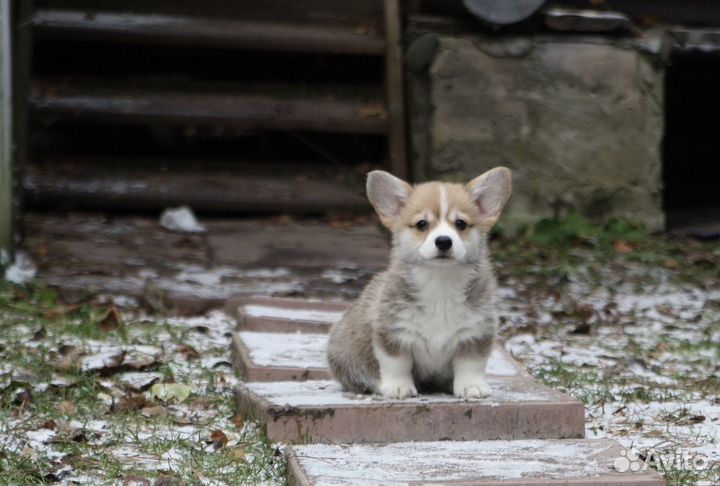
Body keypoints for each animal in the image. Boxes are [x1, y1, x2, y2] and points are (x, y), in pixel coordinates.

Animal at [326, 167, 512, 398]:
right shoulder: (393, 331)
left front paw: (472, 387)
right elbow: (397, 363)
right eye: (422, 224)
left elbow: (470, 364)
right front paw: (398, 387)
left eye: (460, 224)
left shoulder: (476, 332)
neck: (440, 282)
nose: (444, 241)